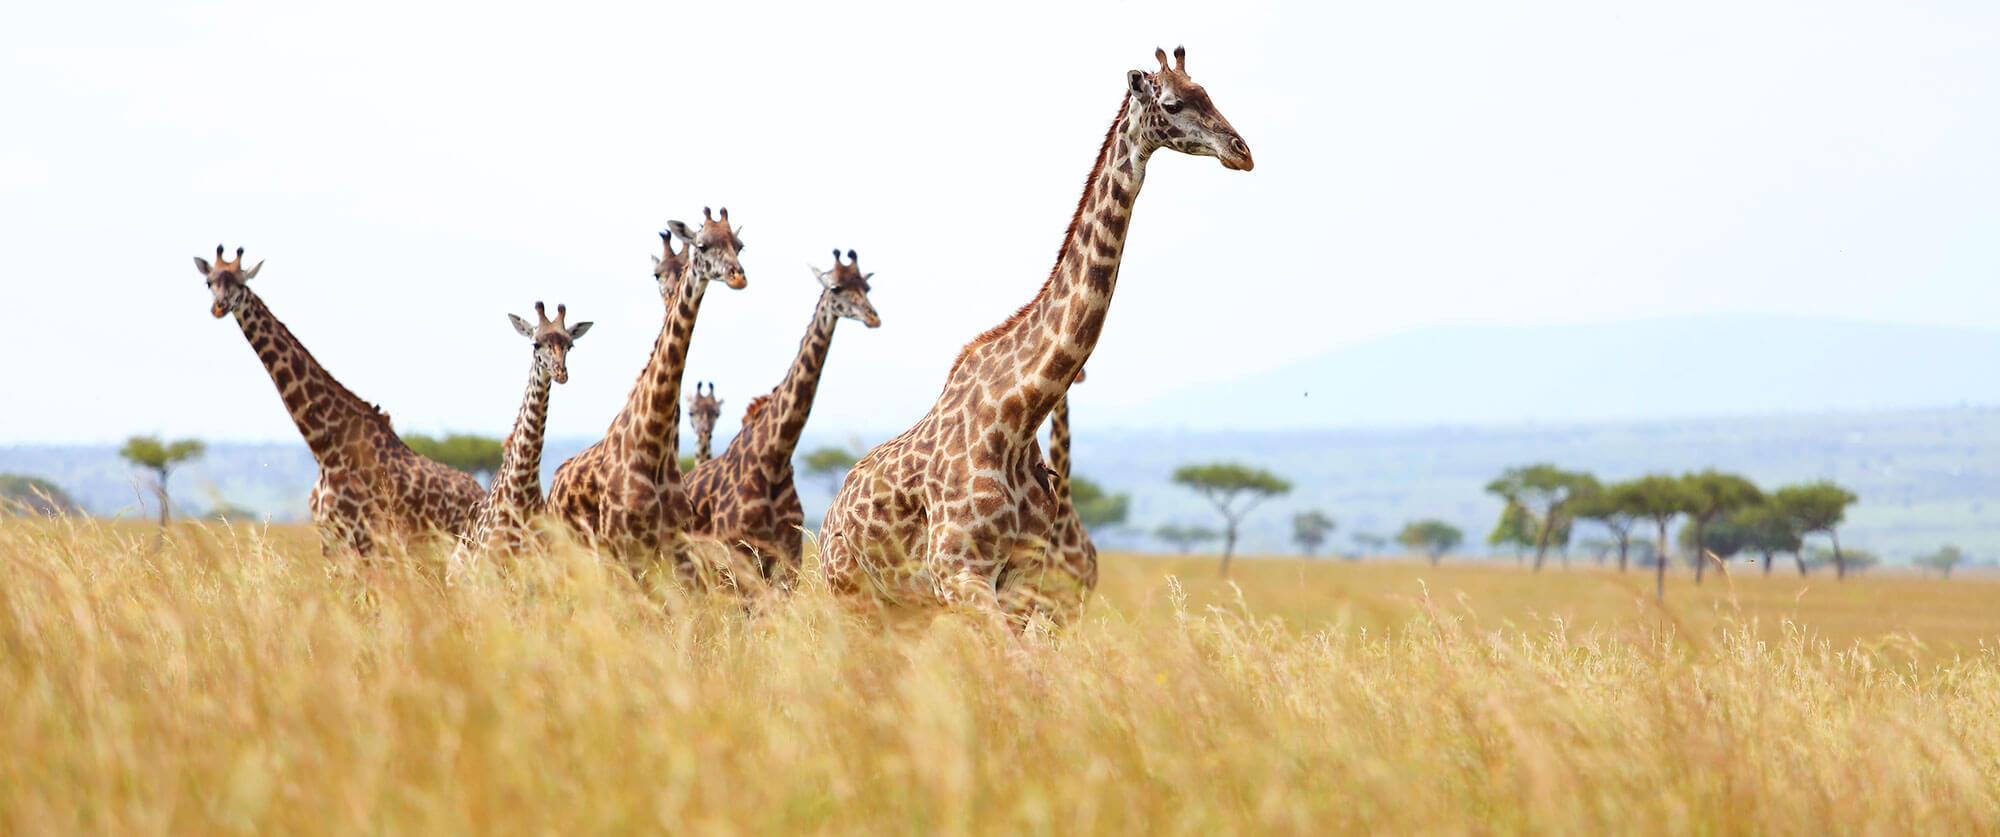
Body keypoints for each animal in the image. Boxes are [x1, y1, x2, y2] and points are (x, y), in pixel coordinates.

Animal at [196, 243, 488, 556]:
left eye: (241, 283)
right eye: (209, 282)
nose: (219, 307)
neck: (324, 445)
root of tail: (480, 492)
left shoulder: (362, 537)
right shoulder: (329, 538)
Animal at [548, 209, 752, 576]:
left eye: (739, 245)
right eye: (702, 244)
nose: (737, 276)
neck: (654, 442)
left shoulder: (677, 547)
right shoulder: (625, 548)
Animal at [684, 245, 880, 580]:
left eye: (866, 287)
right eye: (836, 288)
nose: (873, 316)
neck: (774, 457)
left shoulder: (789, 553)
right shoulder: (737, 551)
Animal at [812, 47, 1248, 628]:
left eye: (1210, 94)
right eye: (1174, 103)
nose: (1241, 151)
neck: (1018, 416)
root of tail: (828, 514)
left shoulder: (1023, 583)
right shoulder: (960, 574)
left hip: (904, 610)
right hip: (851, 596)